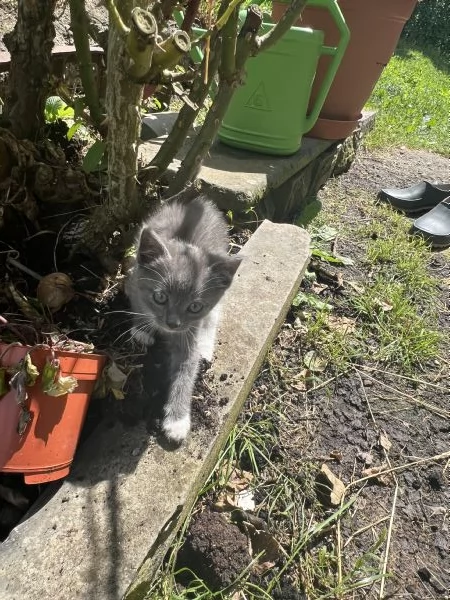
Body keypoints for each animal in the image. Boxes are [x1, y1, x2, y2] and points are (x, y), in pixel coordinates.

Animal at [125, 197, 241, 446]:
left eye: (194, 306)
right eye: (160, 297)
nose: (172, 324)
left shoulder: (189, 330)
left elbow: (188, 366)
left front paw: (177, 421)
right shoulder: (133, 280)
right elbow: (139, 304)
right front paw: (142, 329)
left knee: (213, 317)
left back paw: (205, 348)